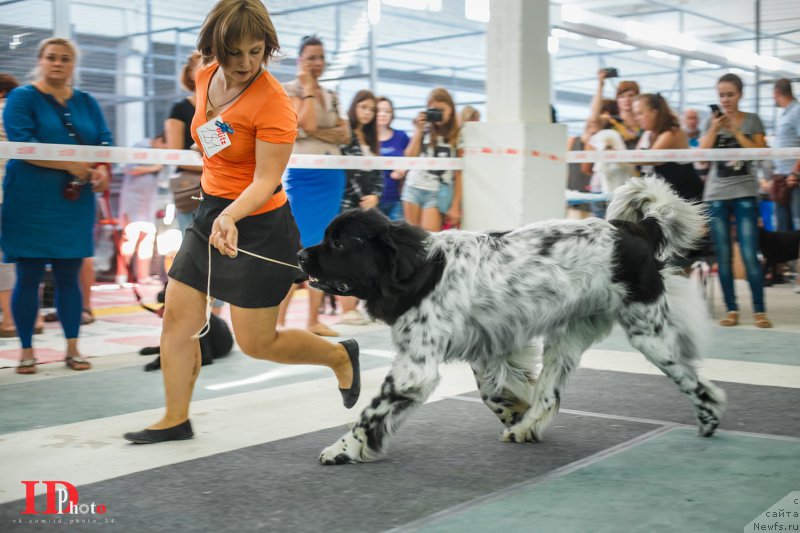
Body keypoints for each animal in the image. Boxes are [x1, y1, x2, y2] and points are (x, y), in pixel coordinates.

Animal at [298, 177, 724, 464]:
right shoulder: (490, 347)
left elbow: (371, 414)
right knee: (550, 392)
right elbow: (496, 391)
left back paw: (709, 420)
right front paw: (515, 412)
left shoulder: (415, 369)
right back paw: (525, 428)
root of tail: (636, 228)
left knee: (696, 381)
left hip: (648, 333)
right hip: (567, 338)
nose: (301, 255)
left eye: (338, 242)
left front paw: (342, 449)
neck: (417, 270)